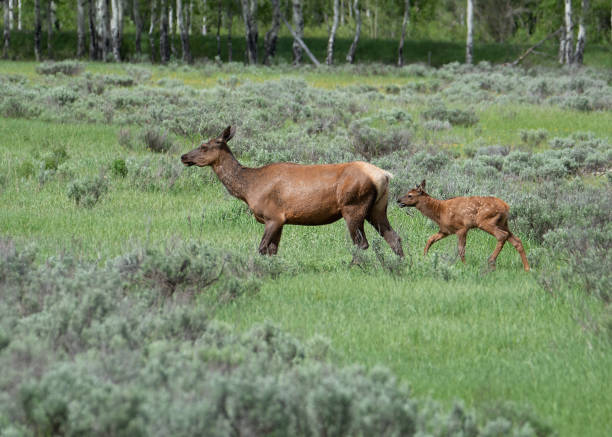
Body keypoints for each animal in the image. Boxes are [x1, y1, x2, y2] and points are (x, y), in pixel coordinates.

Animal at [179, 124, 404, 258]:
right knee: (393, 236)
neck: (249, 188)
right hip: (377, 208)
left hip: (353, 206)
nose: (183, 156)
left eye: (205, 146)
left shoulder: (273, 216)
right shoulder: (280, 221)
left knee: (361, 243)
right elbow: (272, 251)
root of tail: (384, 175)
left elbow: (261, 249)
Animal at [400, 180, 528, 270]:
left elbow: (461, 249)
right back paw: (527, 268)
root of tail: (506, 206)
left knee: (502, 235)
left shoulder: (461, 228)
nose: (398, 200)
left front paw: (465, 266)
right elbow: (430, 239)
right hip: (503, 223)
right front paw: (424, 256)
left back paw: (491, 261)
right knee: (517, 241)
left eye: (410, 195)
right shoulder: (445, 230)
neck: (439, 211)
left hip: (485, 221)